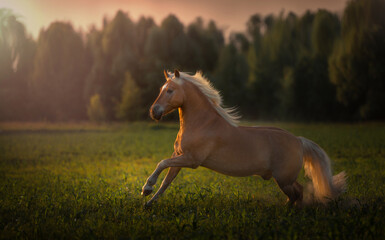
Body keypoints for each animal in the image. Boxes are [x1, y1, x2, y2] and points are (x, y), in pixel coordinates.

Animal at [140, 69, 344, 206]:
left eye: (170, 90)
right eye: (161, 89)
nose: (153, 111)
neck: (202, 124)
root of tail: (298, 141)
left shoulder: (191, 160)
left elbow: (161, 163)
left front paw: (146, 188)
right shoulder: (179, 156)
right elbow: (166, 180)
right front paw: (148, 200)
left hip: (284, 178)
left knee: (297, 194)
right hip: (285, 179)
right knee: (297, 193)